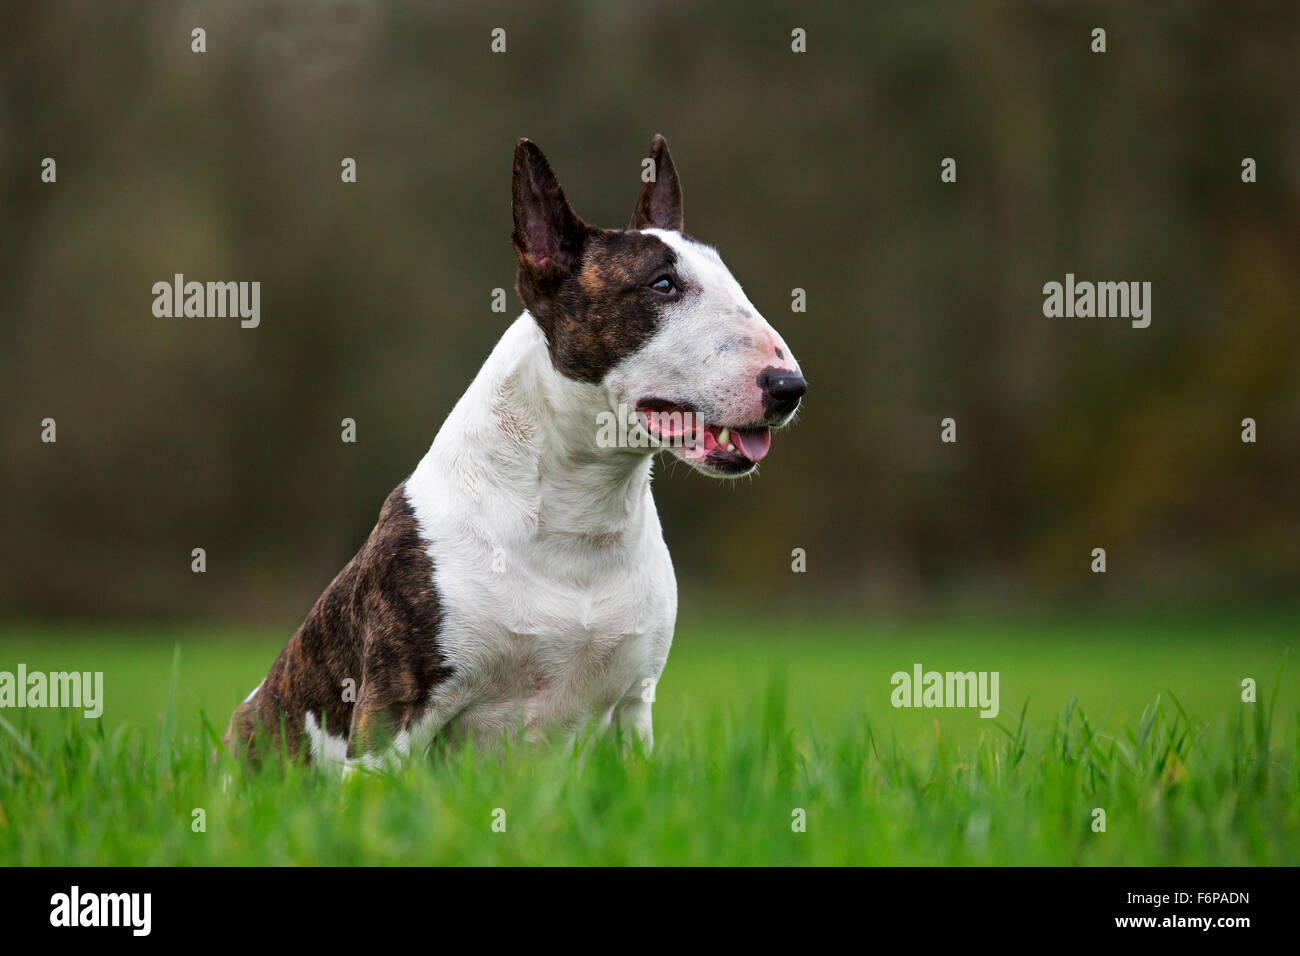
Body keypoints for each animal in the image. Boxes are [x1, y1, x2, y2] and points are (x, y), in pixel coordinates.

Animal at [228, 136, 806, 770]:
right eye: (662, 285)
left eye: (731, 281)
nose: (789, 386)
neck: (579, 514)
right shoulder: (392, 714)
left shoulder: (634, 705)